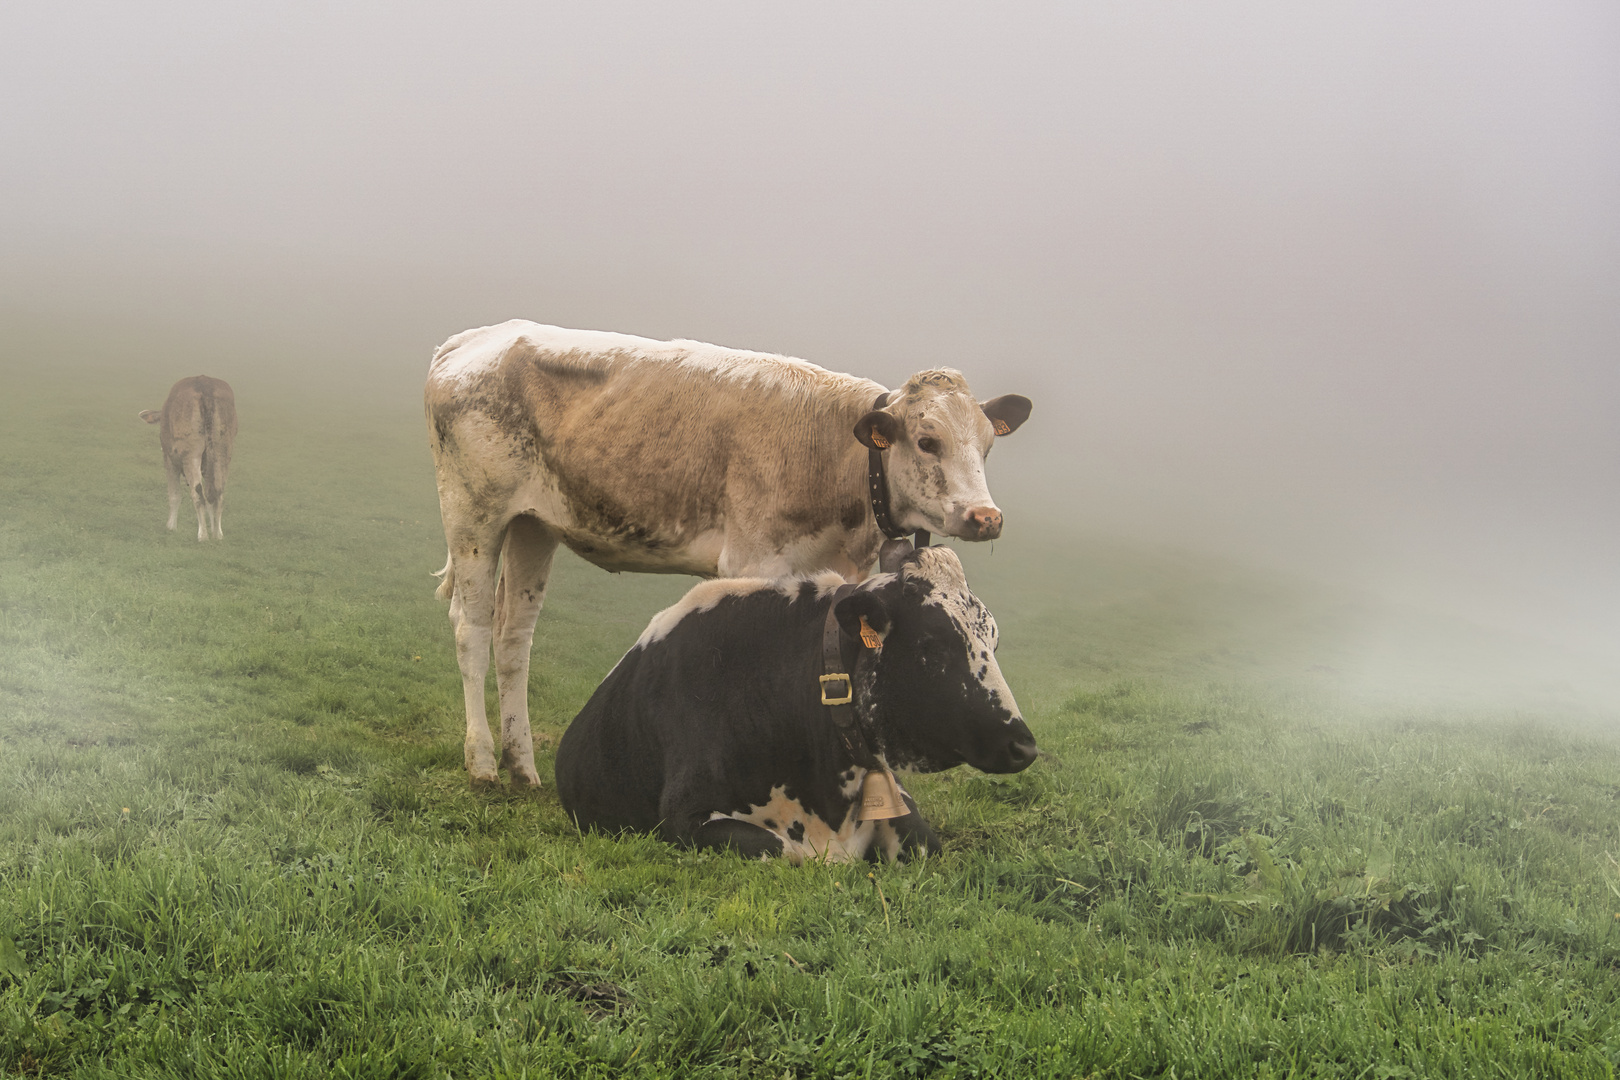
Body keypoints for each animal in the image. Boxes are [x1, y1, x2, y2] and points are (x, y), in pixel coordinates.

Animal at [137, 375, 236, 540]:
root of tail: (205, 387)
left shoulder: (169, 460)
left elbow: (174, 494)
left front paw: (171, 527)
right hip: (223, 449)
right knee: (218, 493)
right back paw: (217, 535)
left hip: (190, 453)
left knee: (198, 494)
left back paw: (202, 536)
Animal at [424, 317, 1030, 790]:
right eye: (927, 441)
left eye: (986, 445)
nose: (986, 517)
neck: (836, 456)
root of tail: (477, 337)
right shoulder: (752, 563)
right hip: (474, 512)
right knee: (472, 628)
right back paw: (483, 762)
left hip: (533, 525)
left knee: (513, 637)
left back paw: (522, 766)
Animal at [557, 550, 1036, 861]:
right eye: (931, 644)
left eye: (993, 642)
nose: (1024, 746)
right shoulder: (686, 816)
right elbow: (784, 850)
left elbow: (928, 845)